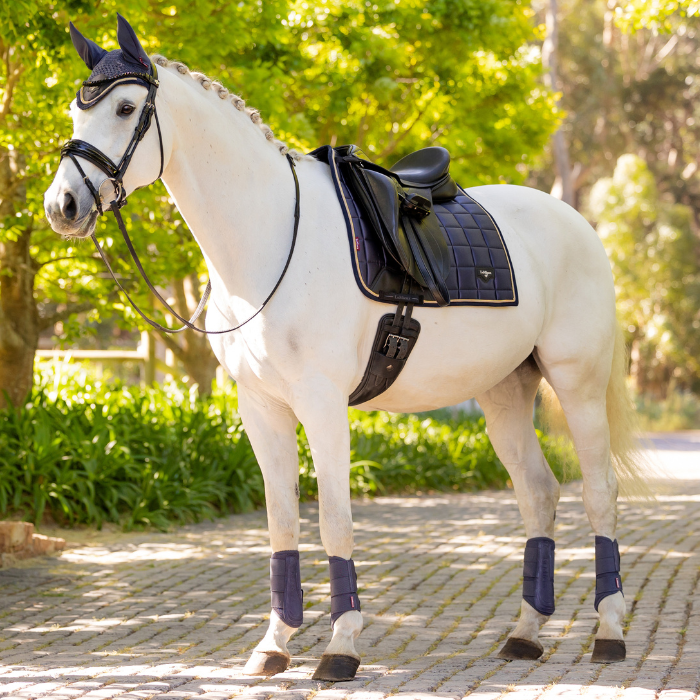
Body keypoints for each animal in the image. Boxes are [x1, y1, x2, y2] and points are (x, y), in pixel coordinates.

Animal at [45, 17, 644, 684]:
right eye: (75, 108)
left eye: (126, 108)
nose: (62, 206)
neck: (271, 238)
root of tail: (578, 223)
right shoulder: (260, 408)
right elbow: (281, 520)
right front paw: (274, 644)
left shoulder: (323, 404)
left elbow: (334, 519)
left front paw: (341, 645)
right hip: (505, 392)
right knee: (539, 494)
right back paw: (525, 633)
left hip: (578, 383)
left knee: (600, 492)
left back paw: (610, 634)